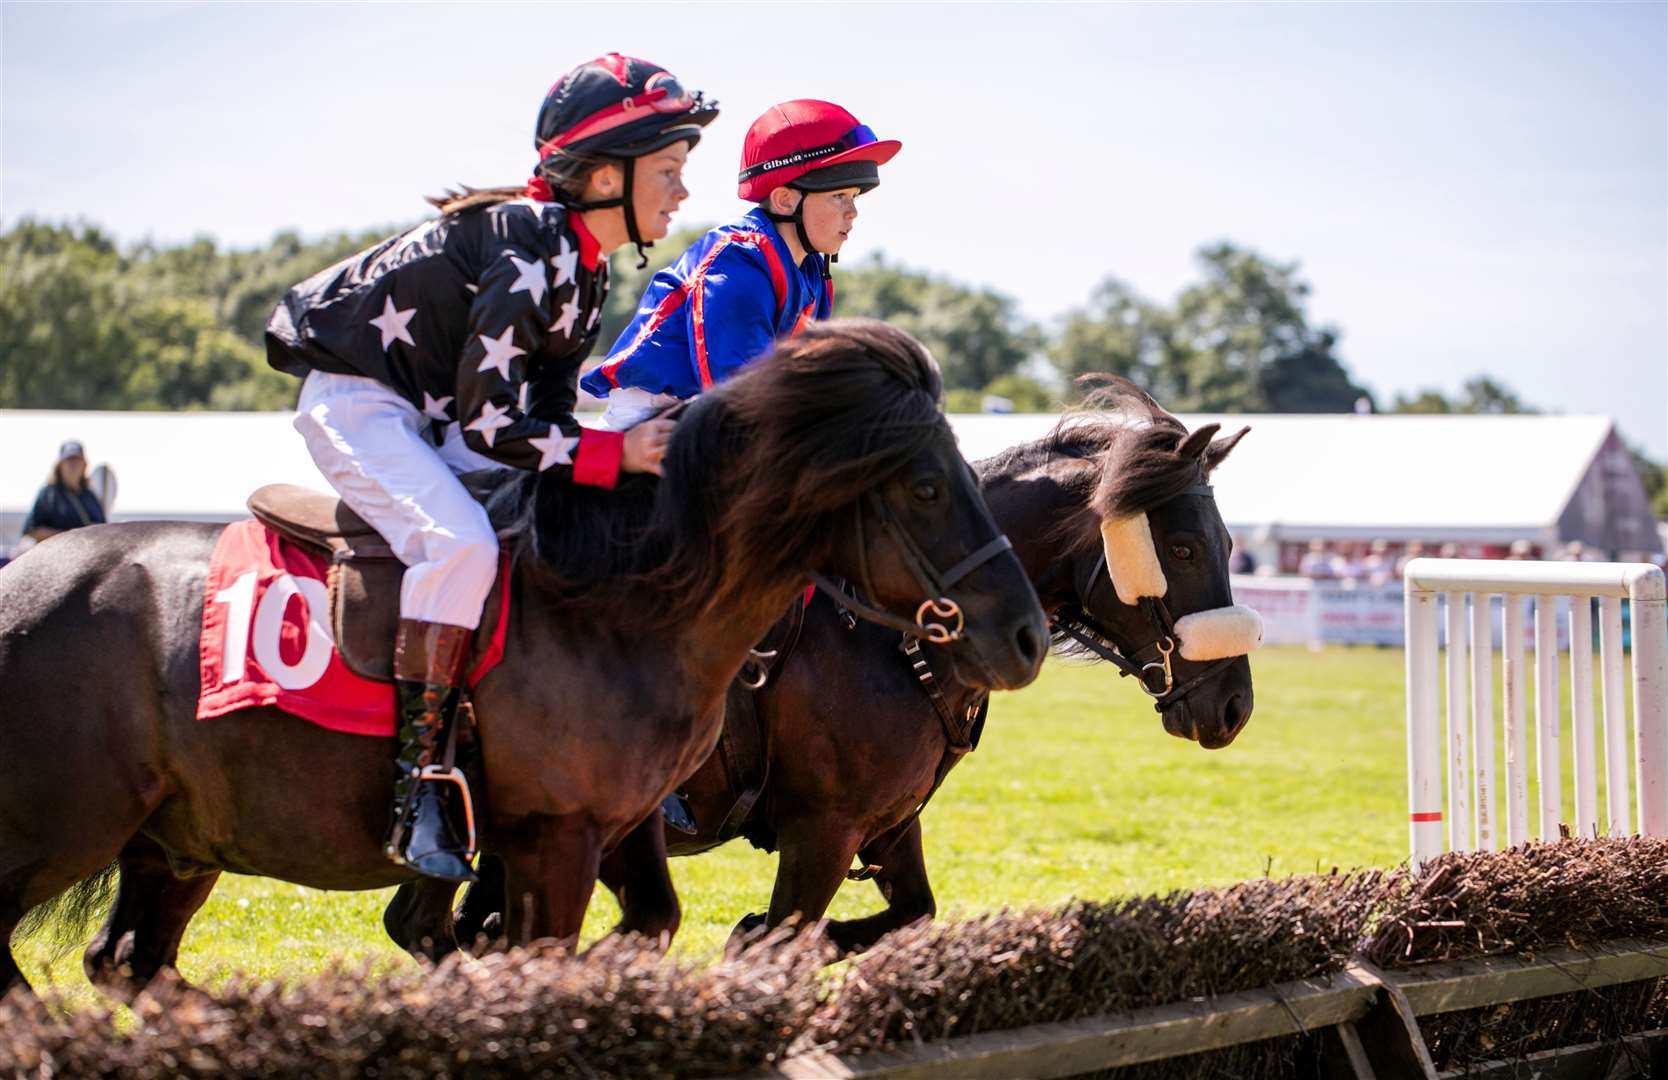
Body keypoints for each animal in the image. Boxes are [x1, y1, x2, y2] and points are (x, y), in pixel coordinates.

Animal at [0, 320, 1040, 994]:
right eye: (923, 486)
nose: (1026, 636)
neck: (624, 603)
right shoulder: (579, 836)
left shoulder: (636, 827)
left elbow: (653, 930)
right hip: (56, 834)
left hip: (176, 840)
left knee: (129, 962)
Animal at [386, 380, 1254, 954]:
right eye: (1181, 547)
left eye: (1228, 543)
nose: (1234, 707)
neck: (894, 637)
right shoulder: (824, 830)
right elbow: (787, 933)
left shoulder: (890, 824)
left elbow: (907, 915)